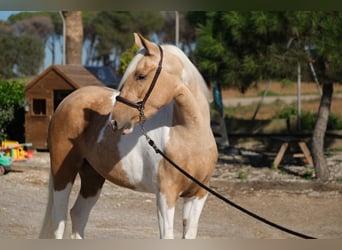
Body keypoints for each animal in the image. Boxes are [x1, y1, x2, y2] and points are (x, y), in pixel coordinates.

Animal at [38, 32, 218, 238]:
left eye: (141, 76)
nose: (114, 120)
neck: (190, 137)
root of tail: (65, 101)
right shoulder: (166, 195)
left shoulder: (197, 196)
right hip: (63, 171)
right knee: (58, 219)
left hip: (93, 175)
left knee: (78, 214)